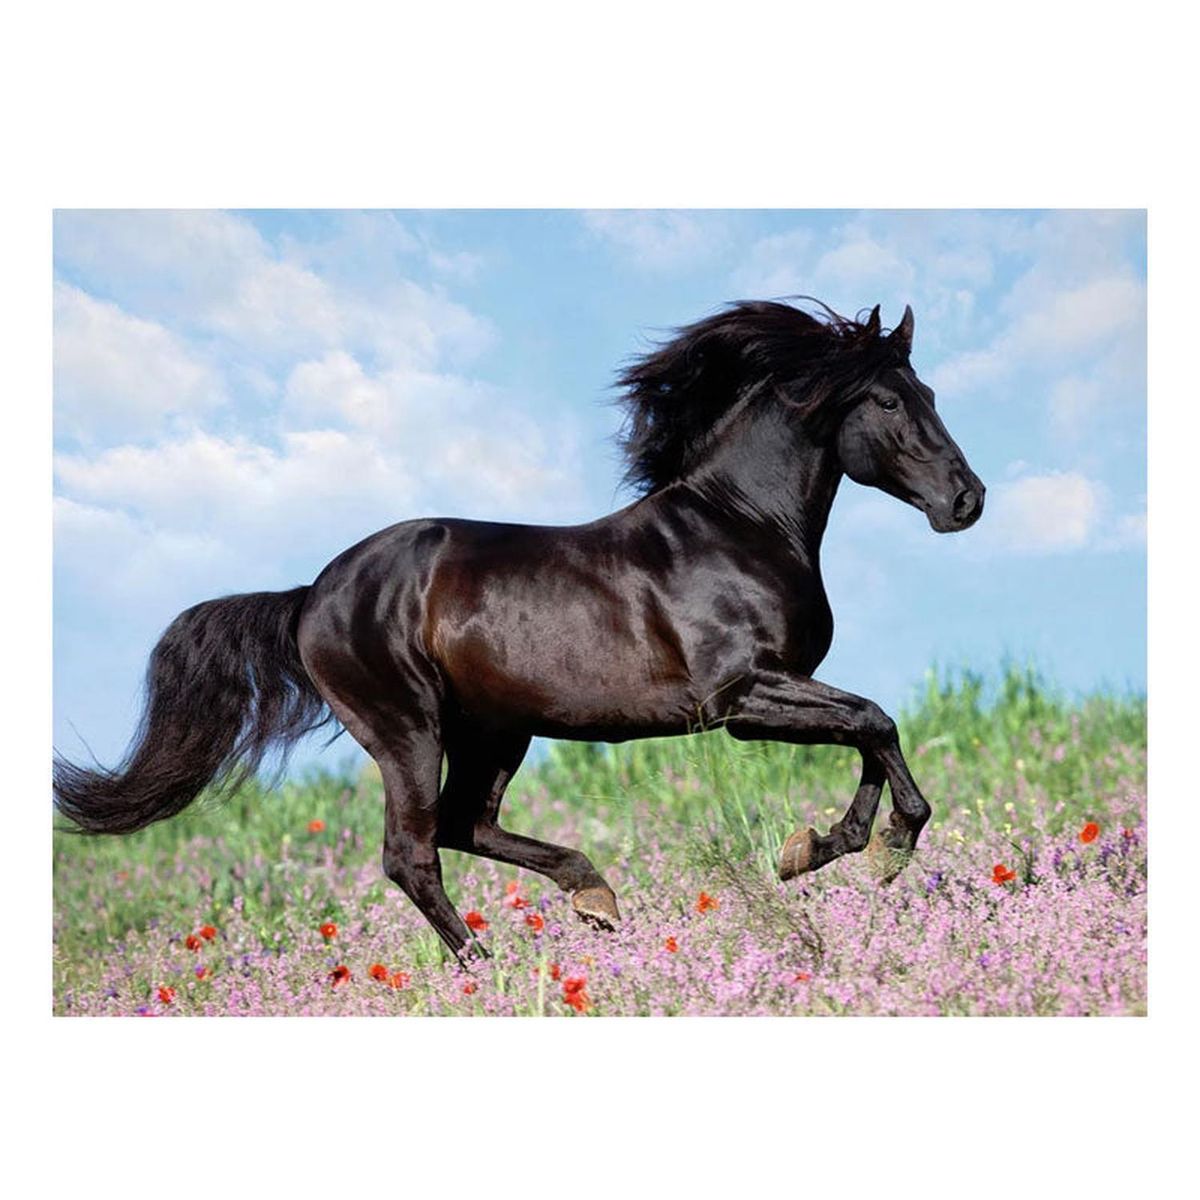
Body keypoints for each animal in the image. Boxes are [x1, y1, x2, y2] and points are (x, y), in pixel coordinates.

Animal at [54, 299, 985, 964]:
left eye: (934, 395)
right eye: (889, 399)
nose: (966, 501)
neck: (739, 525)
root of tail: (311, 595)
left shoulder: (778, 690)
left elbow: (868, 731)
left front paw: (821, 848)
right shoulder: (740, 699)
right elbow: (874, 722)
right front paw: (881, 848)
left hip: (496, 729)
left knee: (464, 825)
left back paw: (594, 897)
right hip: (408, 728)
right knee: (413, 851)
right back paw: (486, 965)